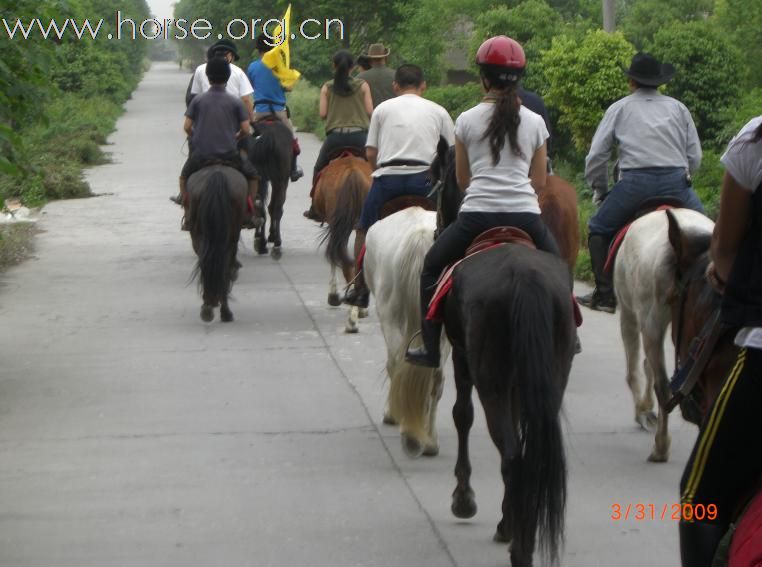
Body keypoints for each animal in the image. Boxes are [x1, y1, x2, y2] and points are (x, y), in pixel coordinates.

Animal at [185, 166, 246, 322]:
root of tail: (217, 175)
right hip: (229, 238)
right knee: (224, 266)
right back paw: (223, 310)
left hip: (200, 235)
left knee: (207, 263)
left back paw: (210, 307)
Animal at [242, 116, 292, 262]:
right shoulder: (279, 180)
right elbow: (273, 207)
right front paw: (272, 236)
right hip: (280, 180)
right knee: (275, 209)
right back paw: (275, 245)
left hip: (260, 177)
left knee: (260, 206)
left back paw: (261, 243)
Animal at [612, 206, 712, 464]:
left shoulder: (629, 313)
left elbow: (635, 372)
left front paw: (643, 411)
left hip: (648, 319)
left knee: (662, 384)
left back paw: (660, 445)